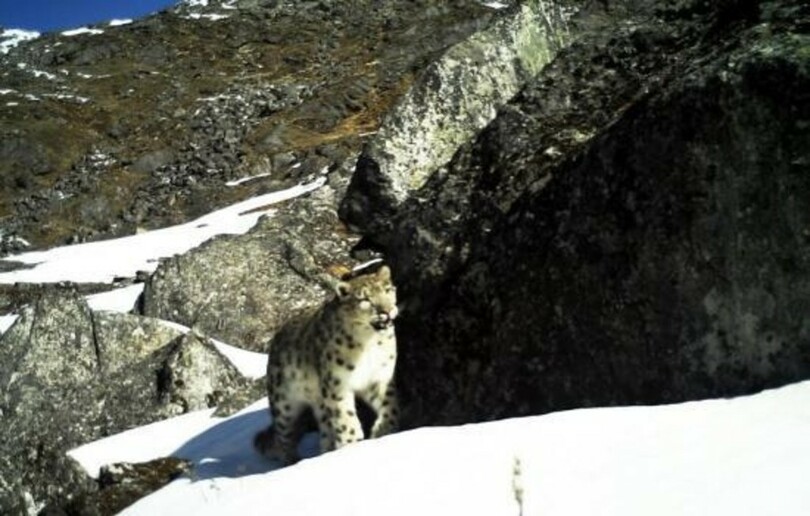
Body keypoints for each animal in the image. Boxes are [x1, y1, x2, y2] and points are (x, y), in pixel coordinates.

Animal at [254, 264, 399, 465]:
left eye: (387, 290)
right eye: (364, 299)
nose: (387, 311)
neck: (369, 343)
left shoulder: (380, 376)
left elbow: (391, 405)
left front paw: (383, 430)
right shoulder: (337, 383)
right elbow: (346, 419)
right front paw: (353, 445)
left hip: (319, 403)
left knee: (324, 429)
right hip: (283, 403)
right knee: (283, 436)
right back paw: (293, 461)